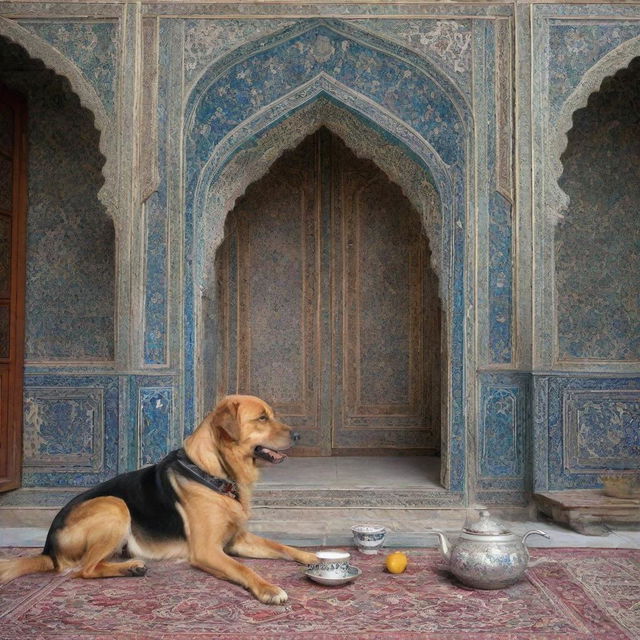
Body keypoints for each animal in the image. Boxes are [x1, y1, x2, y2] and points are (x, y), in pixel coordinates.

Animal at [0, 396, 318, 604]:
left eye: (271, 415)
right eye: (262, 418)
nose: (299, 435)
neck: (213, 472)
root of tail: (48, 549)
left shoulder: (236, 540)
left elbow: (281, 546)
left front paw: (313, 557)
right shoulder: (207, 550)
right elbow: (243, 568)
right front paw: (269, 589)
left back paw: (130, 566)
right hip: (114, 505)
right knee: (83, 570)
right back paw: (129, 568)